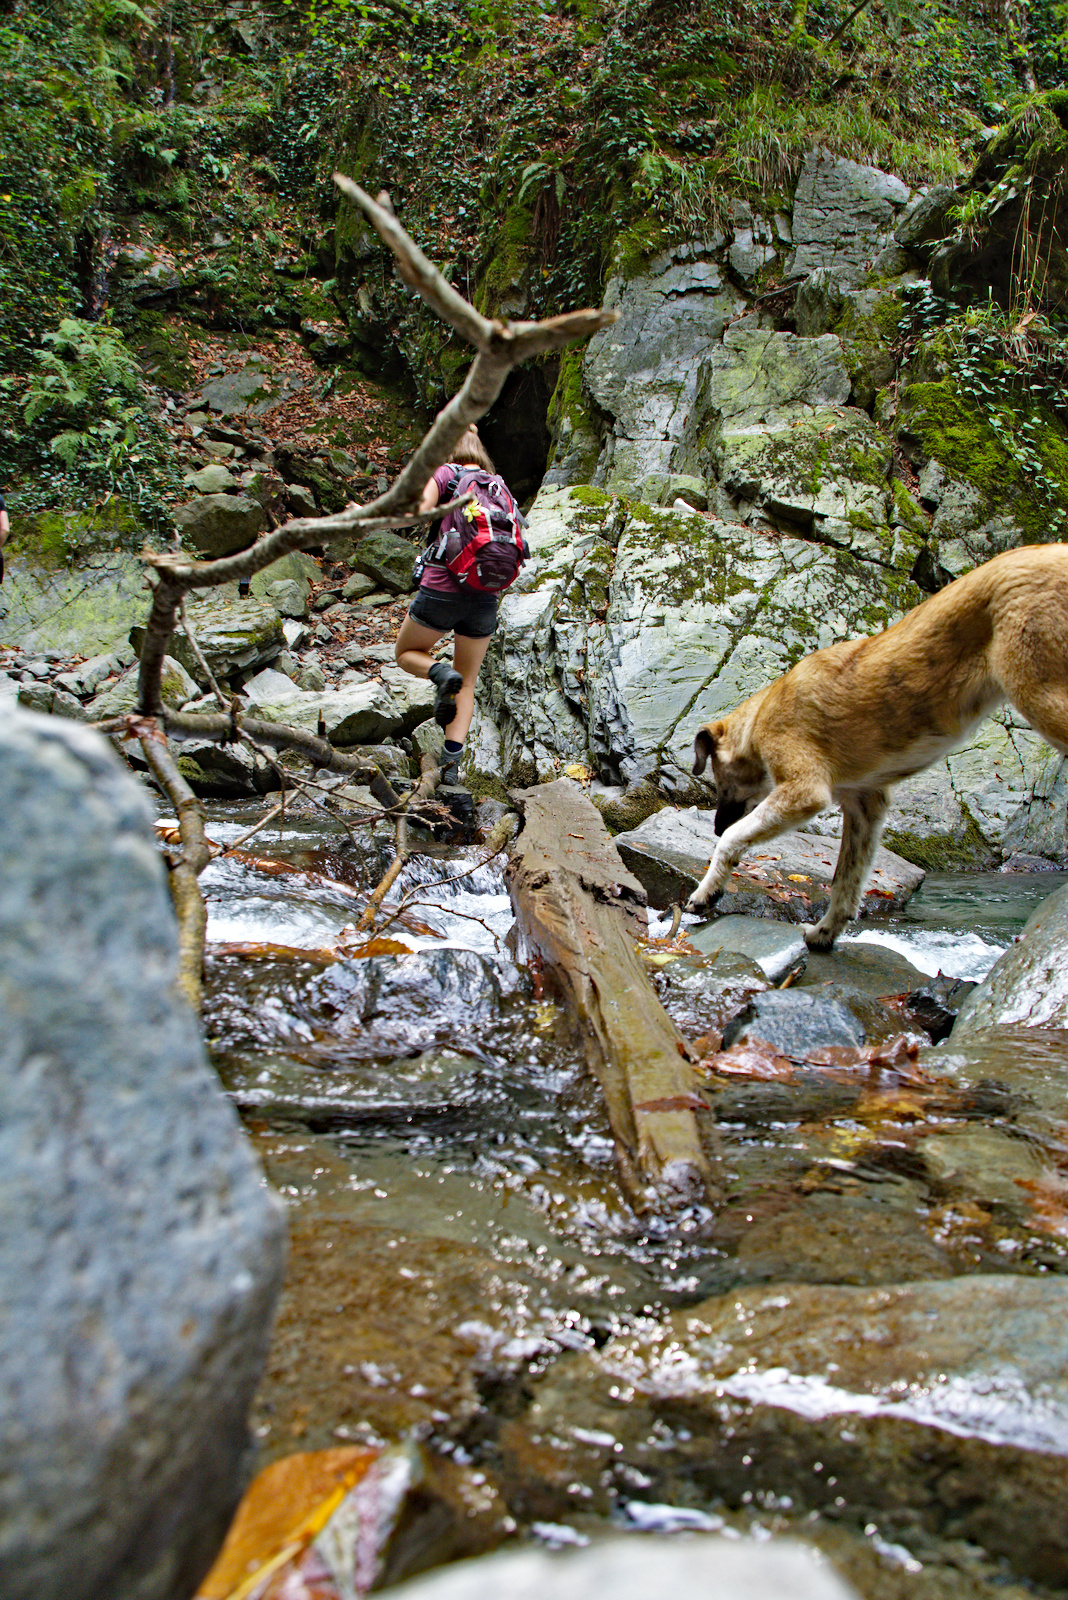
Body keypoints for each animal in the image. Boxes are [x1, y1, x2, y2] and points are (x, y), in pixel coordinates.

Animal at [687, 544, 1068, 949]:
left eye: (720, 781)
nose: (714, 826)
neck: (759, 717)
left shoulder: (805, 789)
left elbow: (735, 837)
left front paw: (706, 892)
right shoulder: (865, 806)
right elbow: (846, 879)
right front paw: (825, 932)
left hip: (1038, 693)